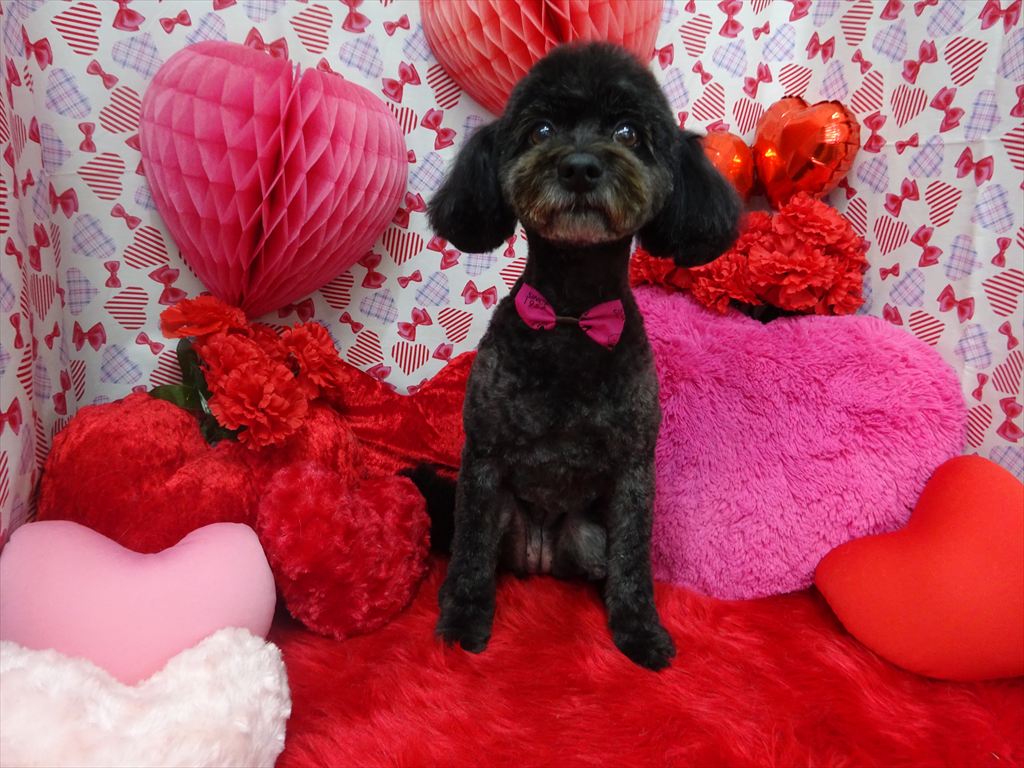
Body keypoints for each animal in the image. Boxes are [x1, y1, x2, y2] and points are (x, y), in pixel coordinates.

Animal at [420, 42, 740, 670]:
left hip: (591, 535)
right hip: (505, 517)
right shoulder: (483, 455)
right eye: (541, 129)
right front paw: (463, 622)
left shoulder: (635, 467)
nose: (580, 167)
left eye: (629, 132)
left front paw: (639, 630)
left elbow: (634, 561)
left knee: (606, 563)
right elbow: (469, 555)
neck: (571, 317)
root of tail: (543, 556)